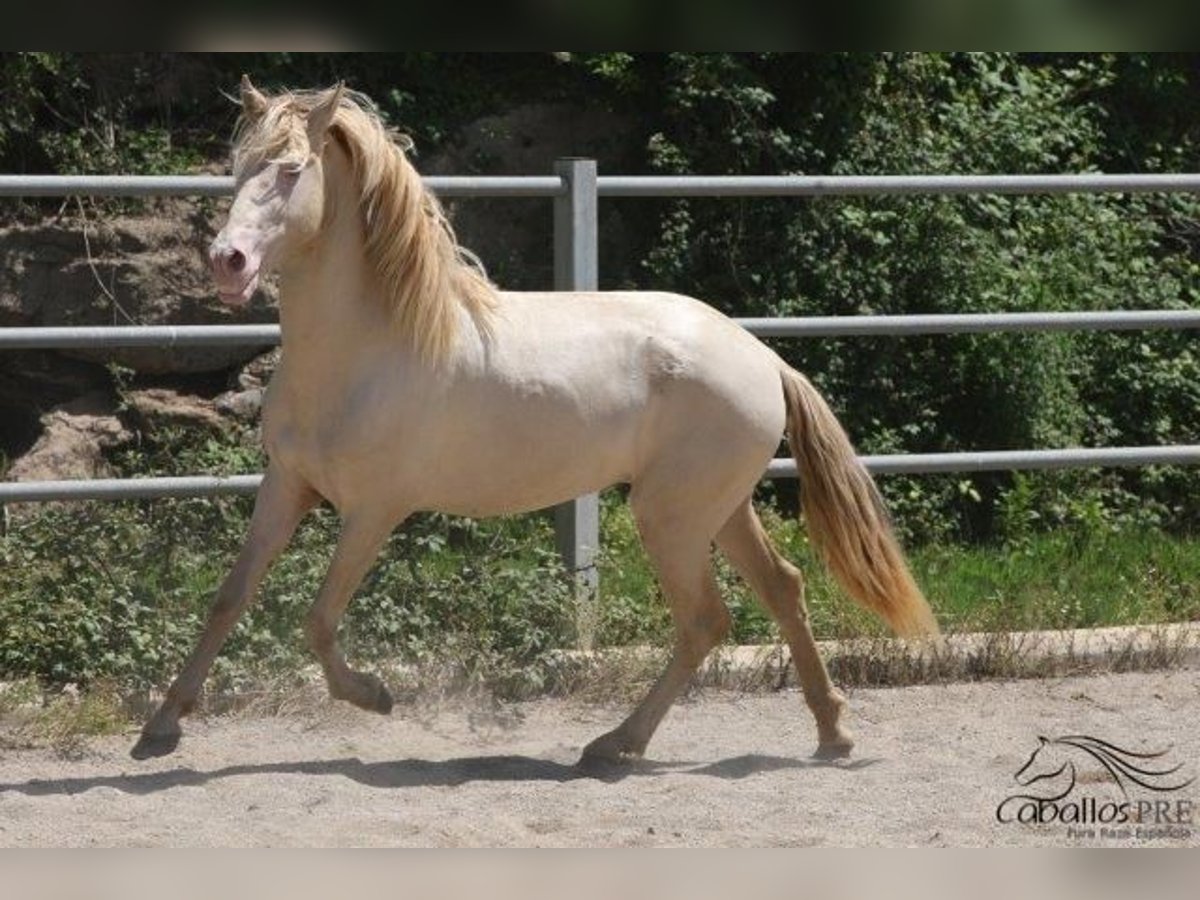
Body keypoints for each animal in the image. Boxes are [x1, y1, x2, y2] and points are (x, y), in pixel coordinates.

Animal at [131, 79, 936, 768]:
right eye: (237, 168)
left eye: (293, 168)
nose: (228, 261)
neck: (366, 347)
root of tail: (763, 357)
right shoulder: (287, 486)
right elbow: (230, 598)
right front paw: (160, 728)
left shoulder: (373, 509)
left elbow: (318, 619)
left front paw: (375, 697)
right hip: (719, 508)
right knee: (783, 589)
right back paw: (831, 733)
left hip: (670, 516)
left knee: (706, 620)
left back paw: (617, 744)